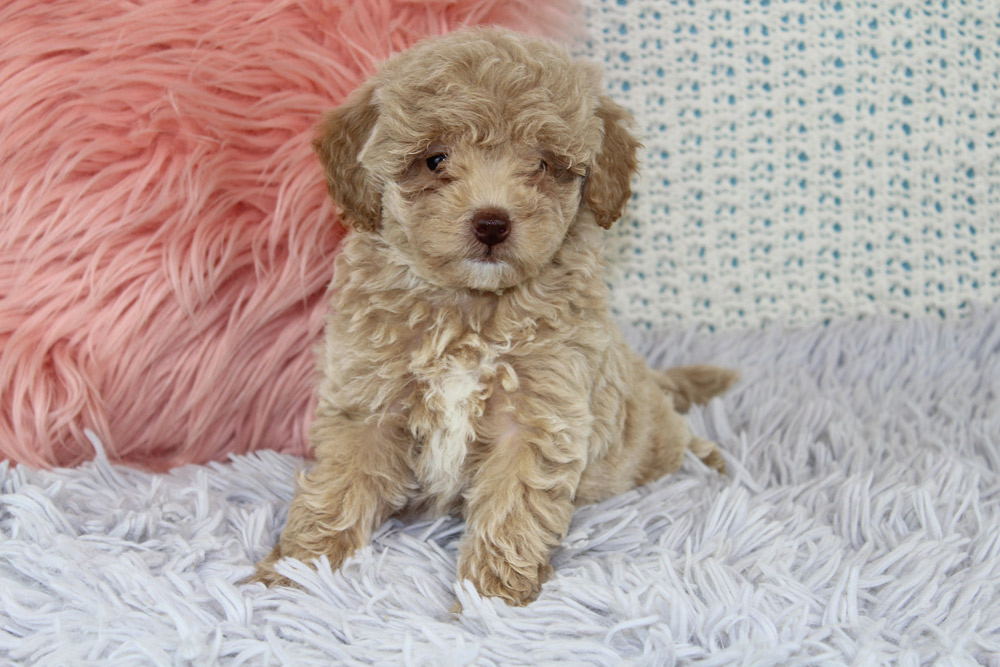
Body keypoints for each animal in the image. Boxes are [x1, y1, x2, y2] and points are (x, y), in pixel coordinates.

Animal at [250, 27, 736, 606]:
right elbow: (338, 489)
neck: (471, 308)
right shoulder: (366, 401)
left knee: (673, 438)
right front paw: (296, 570)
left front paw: (491, 599)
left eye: (542, 164)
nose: (491, 223)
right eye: (435, 160)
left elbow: (513, 507)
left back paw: (709, 460)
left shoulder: (537, 416)